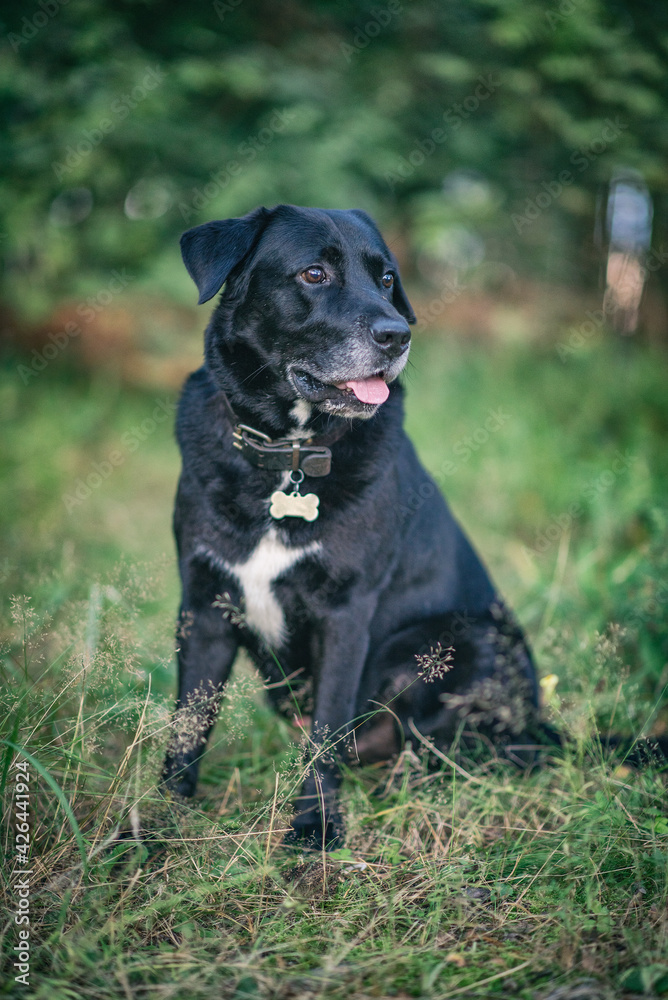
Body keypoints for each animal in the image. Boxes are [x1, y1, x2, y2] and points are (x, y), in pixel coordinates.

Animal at [162, 203, 548, 844]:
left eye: (387, 279)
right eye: (314, 274)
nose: (398, 335)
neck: (289, 455)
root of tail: (541, 729)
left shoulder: (344, 614)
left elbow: (325, 732)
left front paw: (316, 829)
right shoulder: (205, 607)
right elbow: (186, 731)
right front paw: (150, 825)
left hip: (441, 644)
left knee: (450, 758)